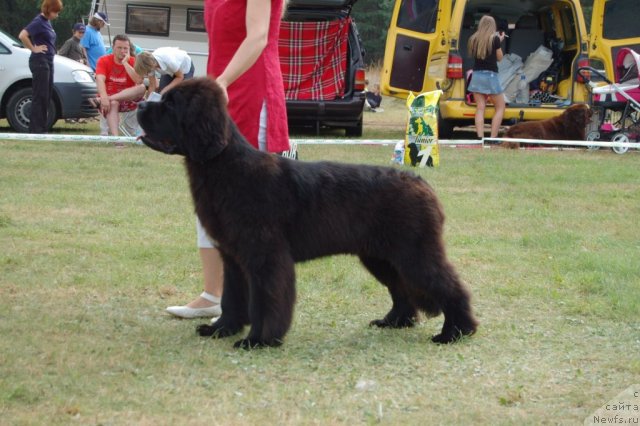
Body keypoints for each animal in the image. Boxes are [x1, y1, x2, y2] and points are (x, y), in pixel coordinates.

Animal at [138, 77, 478, 350]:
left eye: (170, 104)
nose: (140, 104)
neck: (226, 168)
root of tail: (422, 183)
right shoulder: (233, 257)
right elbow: (231, 298)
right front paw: (222, 329)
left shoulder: (266, 257)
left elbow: (267, 300)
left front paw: (258, 340)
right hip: (382, 257)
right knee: (402, 289)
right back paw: (394, 321)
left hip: (414, 253)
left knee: (449, 285)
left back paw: (456, 331)